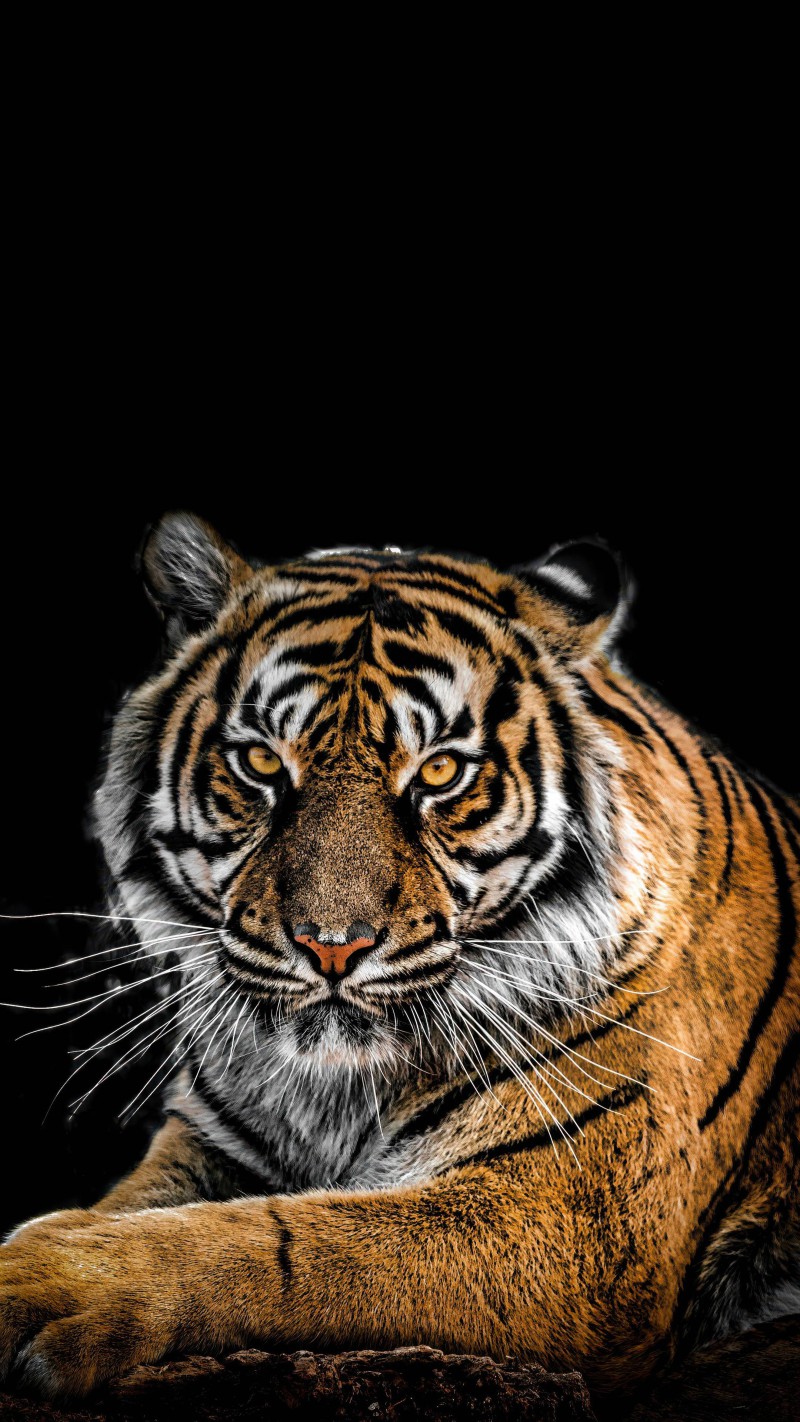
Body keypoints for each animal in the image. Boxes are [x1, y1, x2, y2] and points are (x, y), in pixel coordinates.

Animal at [1, 513, 797, 1404]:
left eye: (441, 771)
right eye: (263, 762)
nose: (331, 945)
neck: (334, 1093)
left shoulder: (575, 1223)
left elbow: (288, 1243)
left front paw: (42, 1281)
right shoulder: (211, 1144)